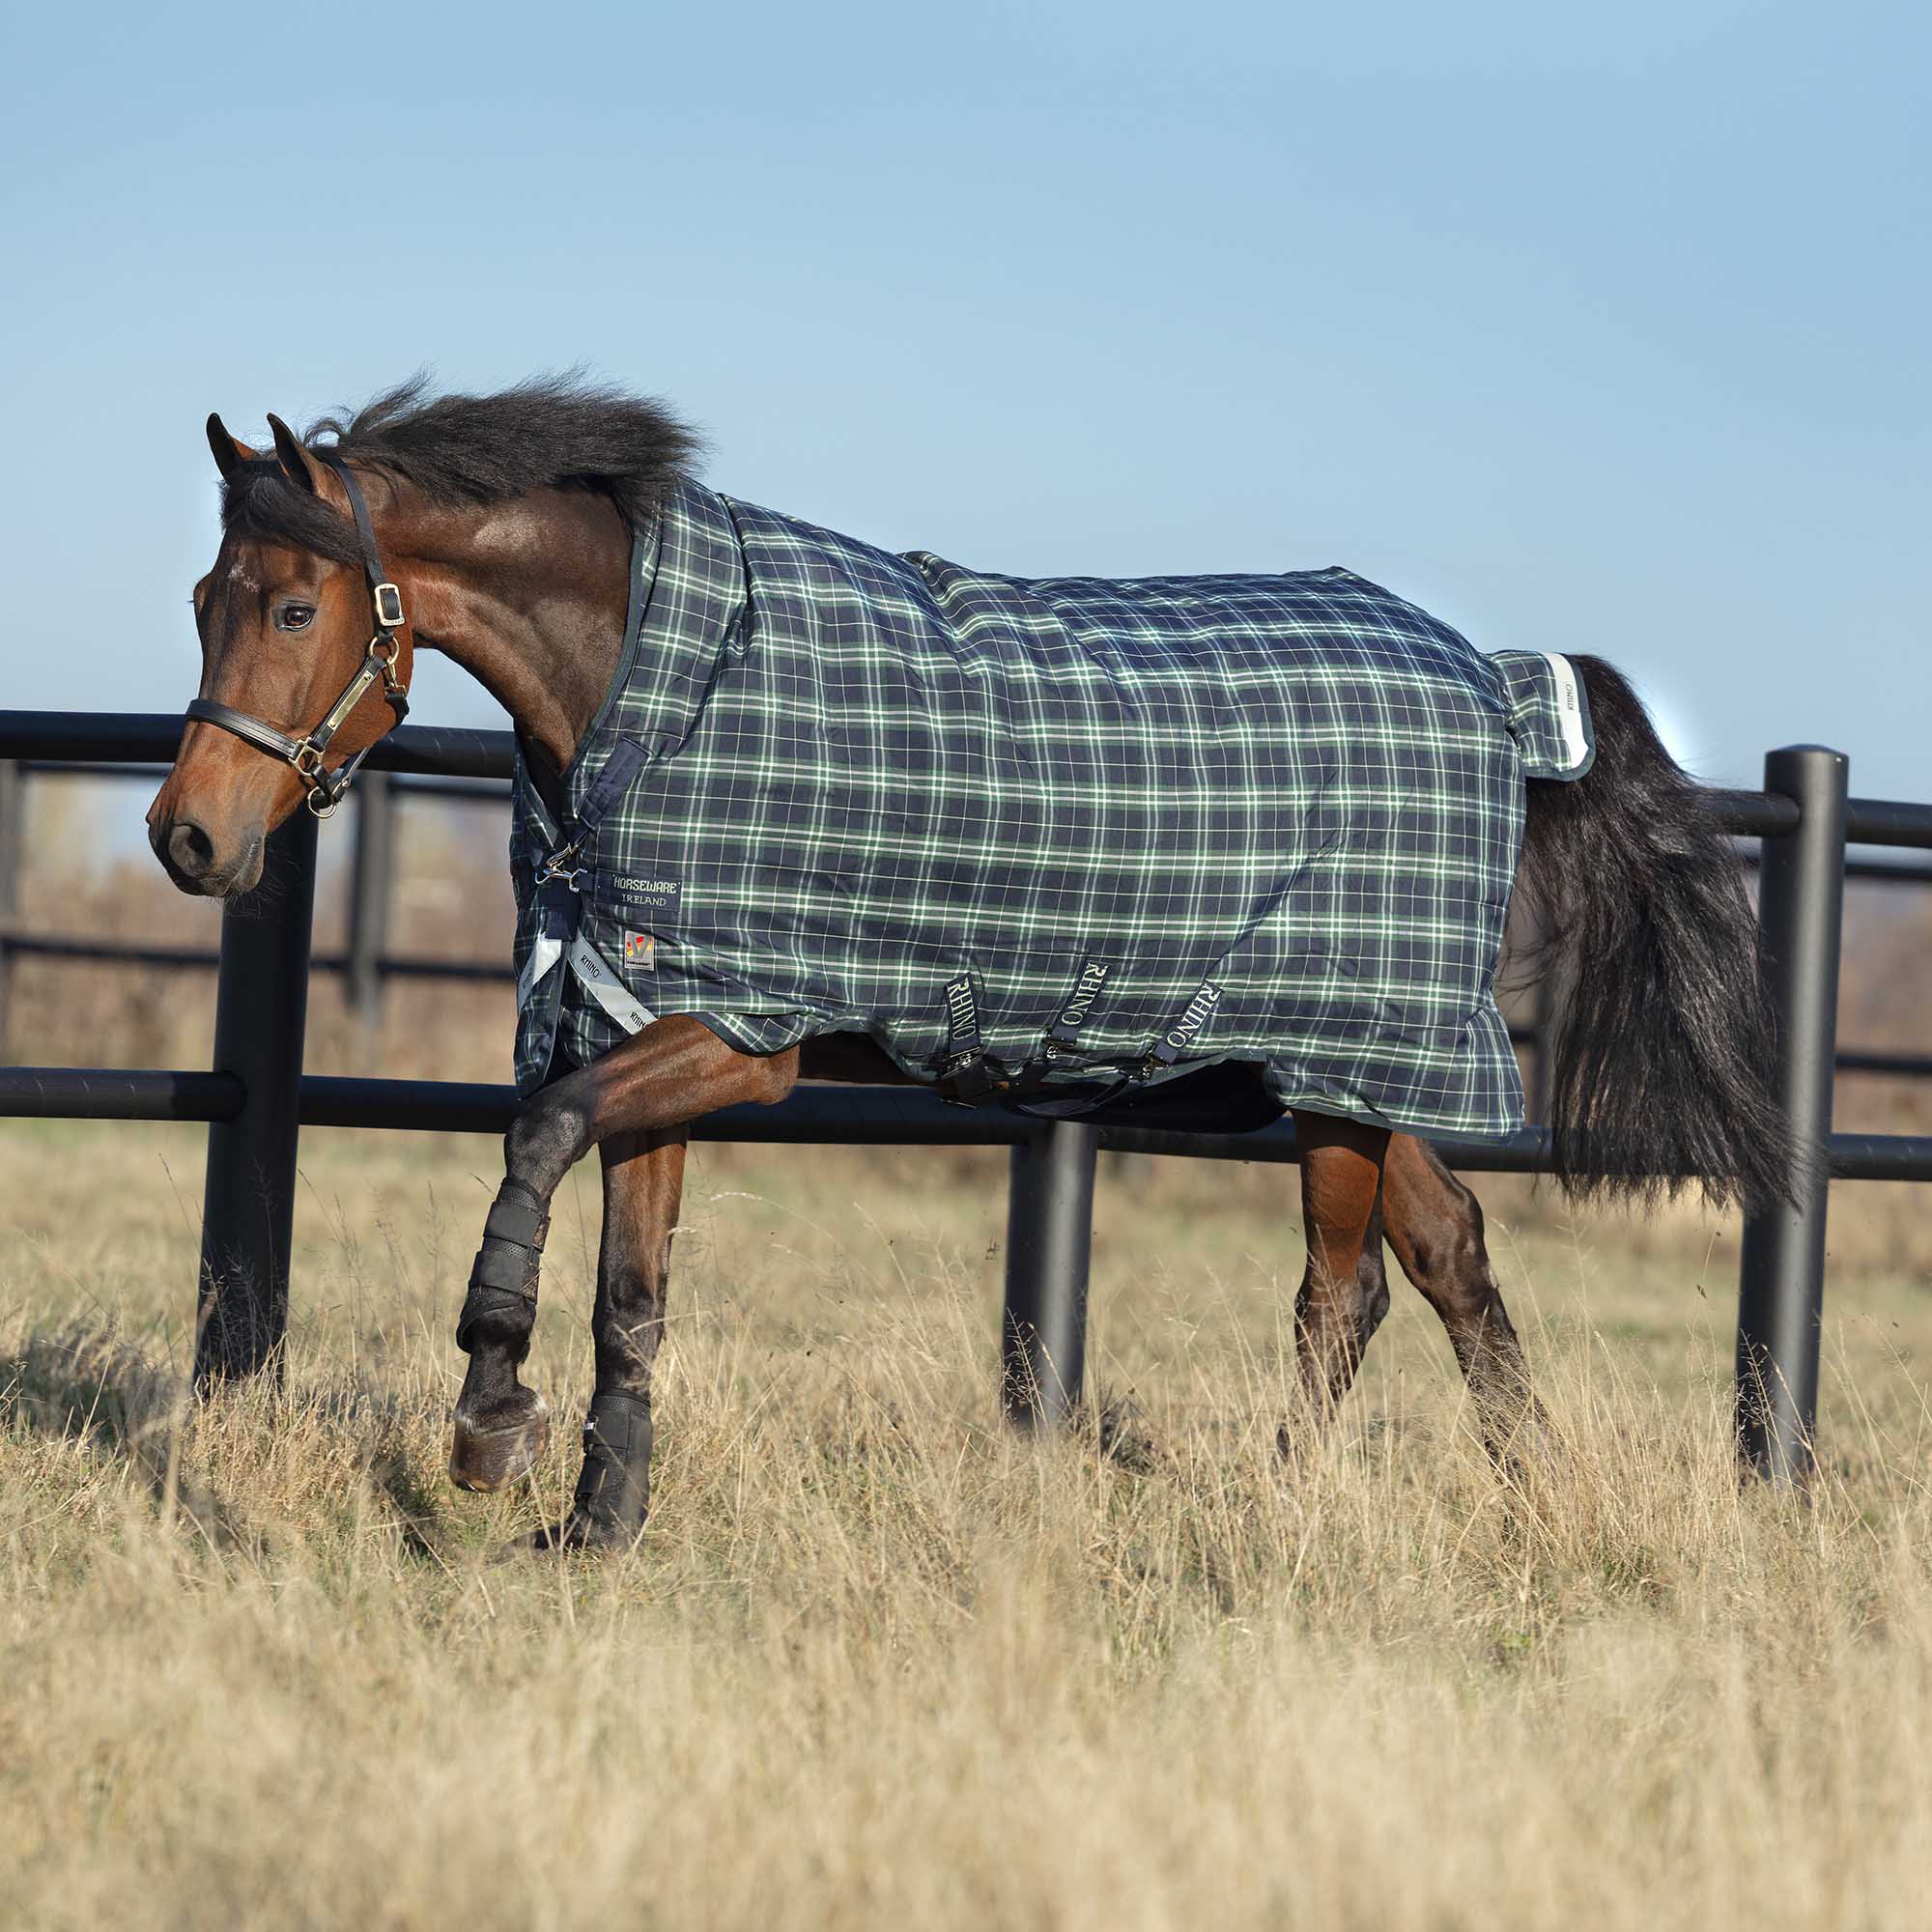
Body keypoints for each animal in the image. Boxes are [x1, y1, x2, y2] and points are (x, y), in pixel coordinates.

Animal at [148, 377, 1792, 1550]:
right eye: (202, 601)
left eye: (292, 605)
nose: (187, 838)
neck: (661, 681)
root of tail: (1499, 685)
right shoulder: (639, 1015)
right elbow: (631, 1287)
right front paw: (594, 1526)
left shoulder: (738, 1033)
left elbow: (536, 1145)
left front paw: (489, 1417)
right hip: (1353, 1076)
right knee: (1449, 1253)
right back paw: (1535, 1500)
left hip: (1342, 1062)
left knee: (1345, 1294)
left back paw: (1282, 1524)